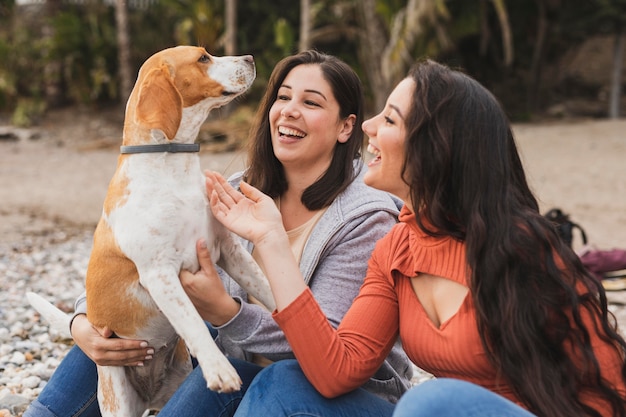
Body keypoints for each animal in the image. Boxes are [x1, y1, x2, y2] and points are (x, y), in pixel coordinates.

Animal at [26, 46, 274, 416]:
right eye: (203, 58)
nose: (250, 58)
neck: (173, 165)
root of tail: (149, 395)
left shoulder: (229, 251)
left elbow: (270, 290)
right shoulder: (160, 274)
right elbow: (193, 322)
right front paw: (219, 369)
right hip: (117, 401)